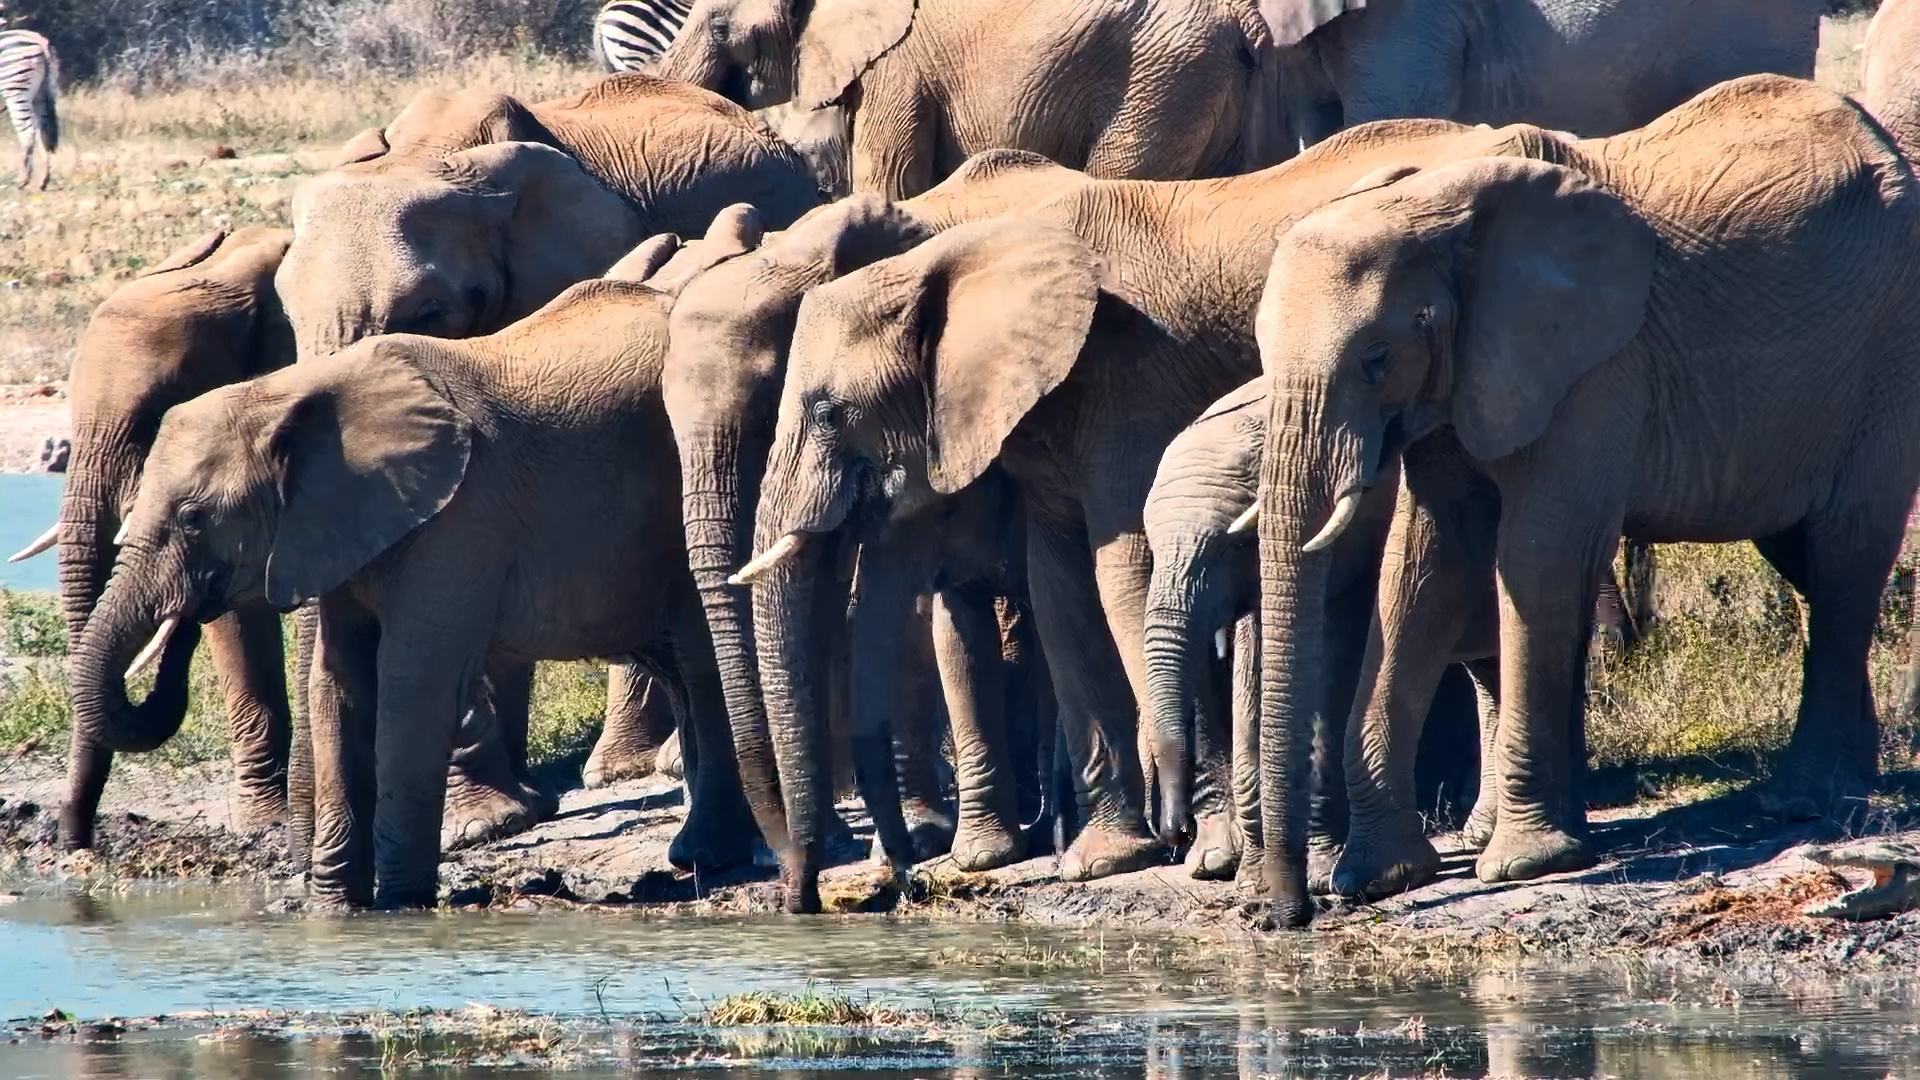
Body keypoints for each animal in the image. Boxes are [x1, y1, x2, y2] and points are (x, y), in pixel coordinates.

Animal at [70, 213, 768, 907]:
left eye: (193, 518)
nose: (187, 612)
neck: (290, 392)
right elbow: (339, 685)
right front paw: (335, 910)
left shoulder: (458, 518)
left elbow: (411, 684)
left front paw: (401, 909)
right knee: (678, 666)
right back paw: (701, 854)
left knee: (700, 665)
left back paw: (709, 854)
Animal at [735, 120, 1556, 888]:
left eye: (827, 412)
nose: (893, 876)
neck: (948, 258)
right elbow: (1061, 587)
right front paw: (1102, 859)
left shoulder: (1126, 376)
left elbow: (1124, 574)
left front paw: (1207, 854)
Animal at [1252, 74, 1920, 924]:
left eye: (1376, 357)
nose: (1285, 913)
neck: (1429, 205)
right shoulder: (1463, 377)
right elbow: (1422, 574)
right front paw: (1379, 878)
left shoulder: (1596, 365)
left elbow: (1536, 557)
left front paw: (1523, 865)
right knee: (1805, 560)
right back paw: (1850, 778)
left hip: (1889, 353)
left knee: (1844, 555)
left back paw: (1806, 801)